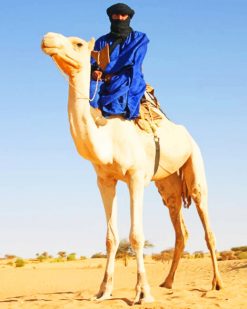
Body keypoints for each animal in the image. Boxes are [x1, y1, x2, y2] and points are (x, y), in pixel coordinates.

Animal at [41, 32, 223, 302]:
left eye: (78, 44)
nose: (47, 38)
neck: (107, 139)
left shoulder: (136, 178)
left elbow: (136, 236)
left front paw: (142, 293)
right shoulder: (105, 180)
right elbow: (111, 238)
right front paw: (103, 291)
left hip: (195, 162)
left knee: (205, 221)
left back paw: (217, 283)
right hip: (168, 185)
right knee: (180, 230)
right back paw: (167, 282)